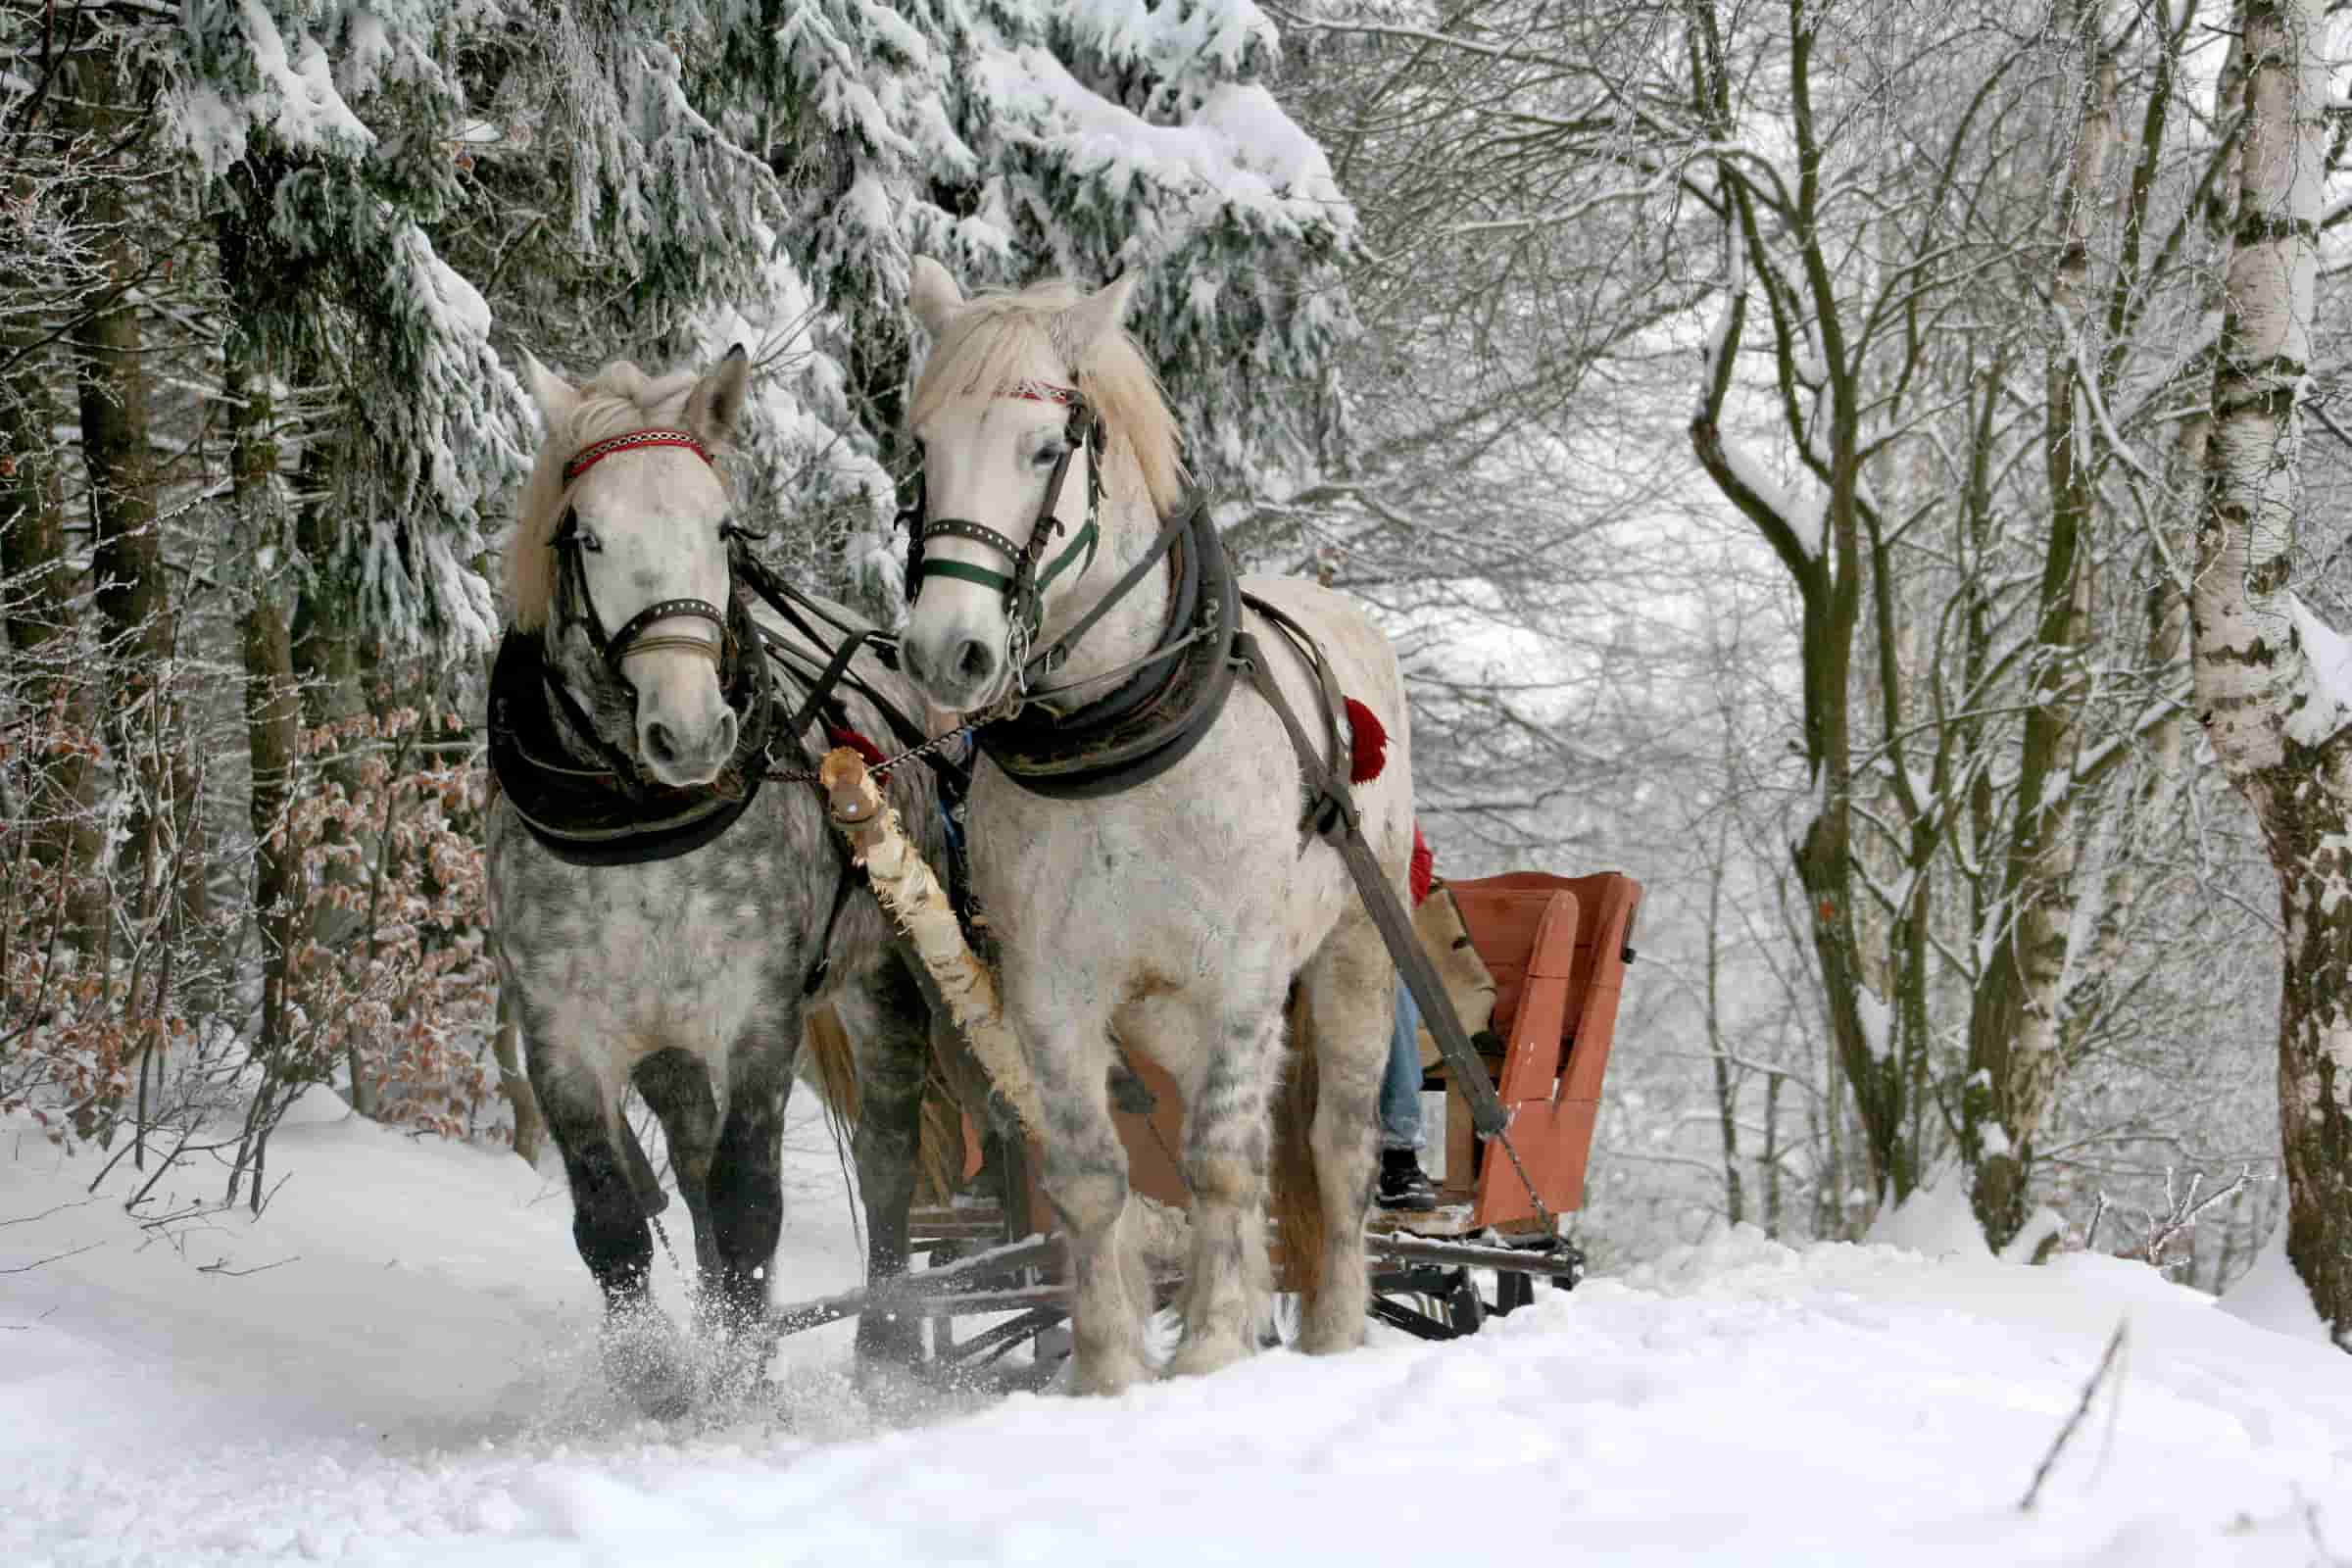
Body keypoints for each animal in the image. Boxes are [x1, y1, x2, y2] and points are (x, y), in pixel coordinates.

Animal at [484, 346, 958, 1413]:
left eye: (723, 529)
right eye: (588, 535)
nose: (693, 731)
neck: (639, 827)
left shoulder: (757, 1018)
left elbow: (750, 1205)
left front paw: (743, 1383)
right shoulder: (564, 1035)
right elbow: (613, 1219)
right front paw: (659, 1374)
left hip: (886, 981)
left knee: (887, 1155)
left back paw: (887, 1345)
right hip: (667, 1042)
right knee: (692, 1164)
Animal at [894, 259, 1415, 1393]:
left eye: (1045, 450)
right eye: (922, 448)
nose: (947, 653)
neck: (1119, 734)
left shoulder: (1244, 975)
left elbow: (1223, 1159)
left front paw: (1213, 1346)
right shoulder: (1050, 988)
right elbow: (1094, 1175)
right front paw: (1109, 1369)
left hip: (1355, 951)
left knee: (1335, 1145)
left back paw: (1333, 1328)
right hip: (1163, 1013)